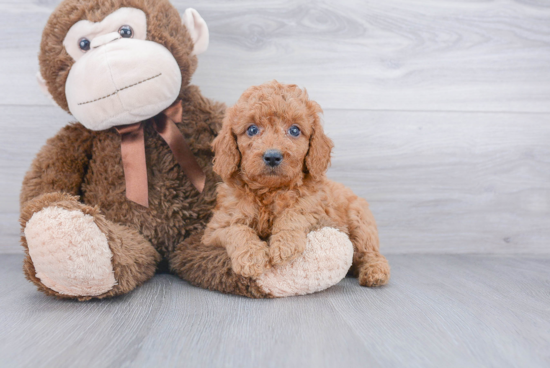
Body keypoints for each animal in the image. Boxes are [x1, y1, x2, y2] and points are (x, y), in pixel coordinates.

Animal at [205, 80, 390, 288]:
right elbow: (236, 229)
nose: (272, 156)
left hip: (360, 220)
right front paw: (252, 257)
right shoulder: (214, 230)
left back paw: (375, 271)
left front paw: (285, 245)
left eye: (294, 130)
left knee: (370, 252)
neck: (269, 190)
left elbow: (295, 213)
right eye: (252, 129)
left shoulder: (318, 211)